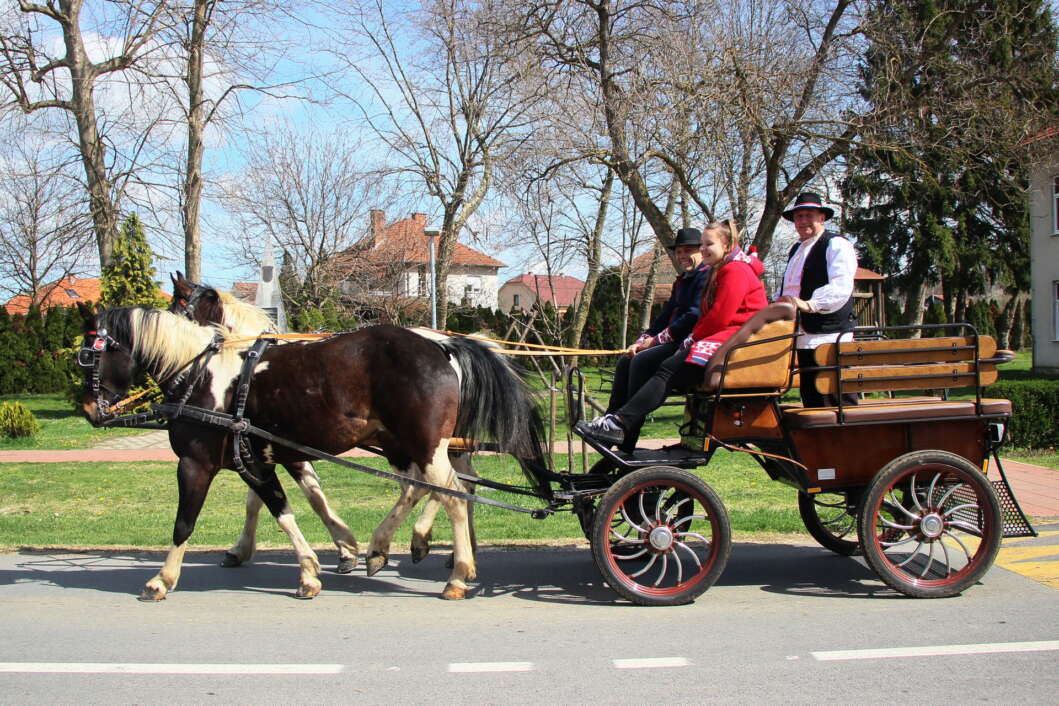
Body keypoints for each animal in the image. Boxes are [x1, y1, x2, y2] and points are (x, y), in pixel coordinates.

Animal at [78, 304, 550, 601]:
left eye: (86, 353)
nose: (87, 409)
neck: (204, 376)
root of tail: (444, 345)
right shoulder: (261, 458)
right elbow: (282, 507)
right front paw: (317, 563)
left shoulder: (196, 464)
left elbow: (184, 523)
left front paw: (161, 579)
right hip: (408, 444)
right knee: (428, 488)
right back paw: (388, 547)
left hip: (424, 443)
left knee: (450, 494)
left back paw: (455, 572)